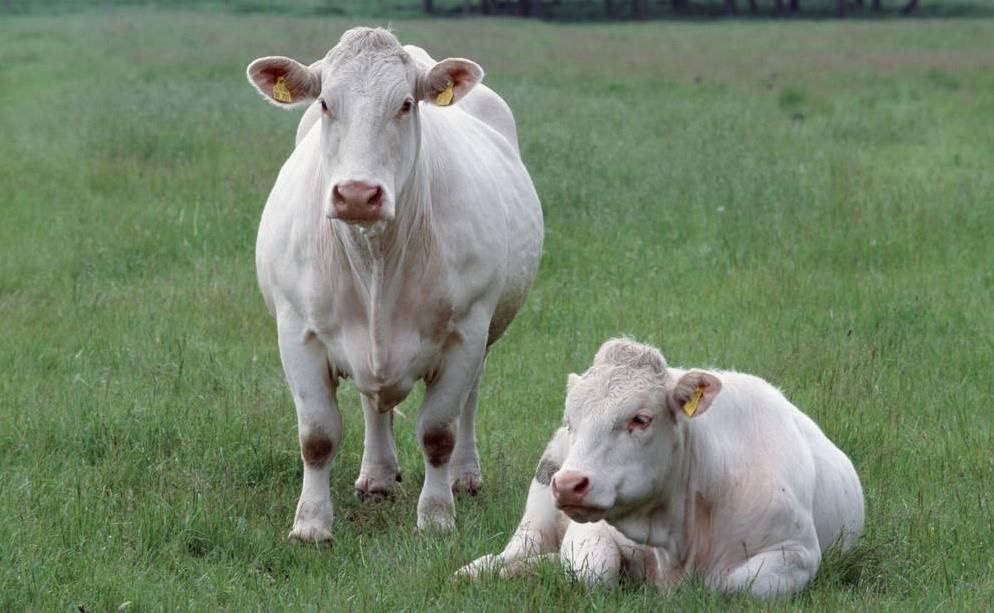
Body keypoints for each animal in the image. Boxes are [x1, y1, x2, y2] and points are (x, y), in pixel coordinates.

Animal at [248, 26, 544, 536]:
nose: (357, 194)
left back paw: (465, 475)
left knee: (469, 400)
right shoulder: (297, 331)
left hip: (486, 332)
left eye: (406, 103)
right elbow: (317, 436)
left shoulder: (466, 332)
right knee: (374, 405)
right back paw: (378, 474)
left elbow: (438, 432)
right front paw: (311, 524)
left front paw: (437, 516)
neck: (377, 259)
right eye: (325, 102)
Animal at [462, 338, 864, 596]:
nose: (570, 484)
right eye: (571, 420)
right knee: (512, 551)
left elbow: (727, 587)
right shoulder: (589, 531)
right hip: (539, 505)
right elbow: (595, 572)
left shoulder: (796, 553)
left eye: (641, 419)